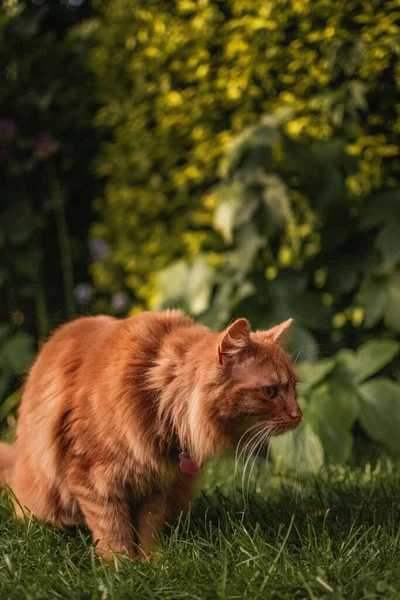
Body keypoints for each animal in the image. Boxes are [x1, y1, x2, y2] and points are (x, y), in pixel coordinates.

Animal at [0, 312, 300, 560]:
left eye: (294, 387)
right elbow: (112, 528)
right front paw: (119, 567)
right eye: (271, 391)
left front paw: (152, 562)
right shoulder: (92, 476)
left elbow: (148, 527)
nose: (299, 414)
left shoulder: (155, 481)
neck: (158, 398)